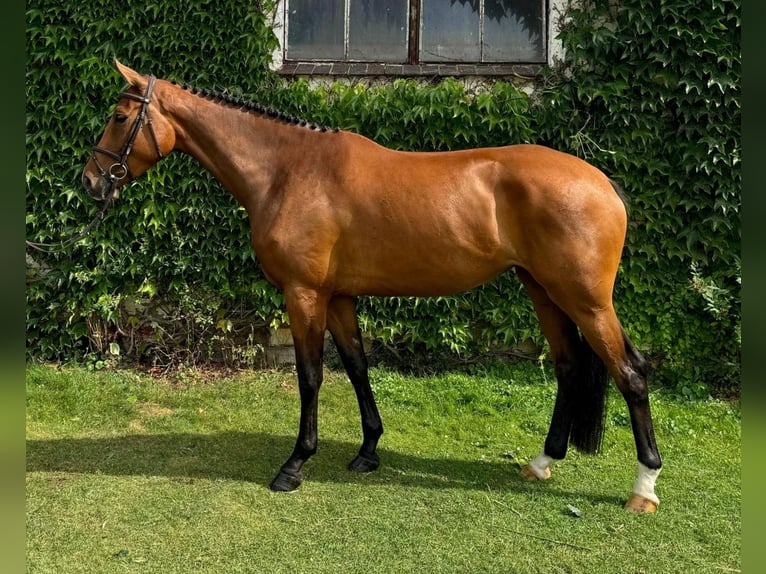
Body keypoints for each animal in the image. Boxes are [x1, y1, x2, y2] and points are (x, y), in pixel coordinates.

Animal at [81, 60, 664, 516]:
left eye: (119, 117)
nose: (90, 180)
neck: (287, 170)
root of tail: (601, 182)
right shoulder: (338, 296)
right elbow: (358, 367)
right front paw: (367, 451)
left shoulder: (305, 294)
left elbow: (311, 376)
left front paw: (295, 464)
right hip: (544, 292)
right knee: (568, 367)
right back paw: (542, 462)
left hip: (586, 300)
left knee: (631, 373)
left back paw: (644, 487)